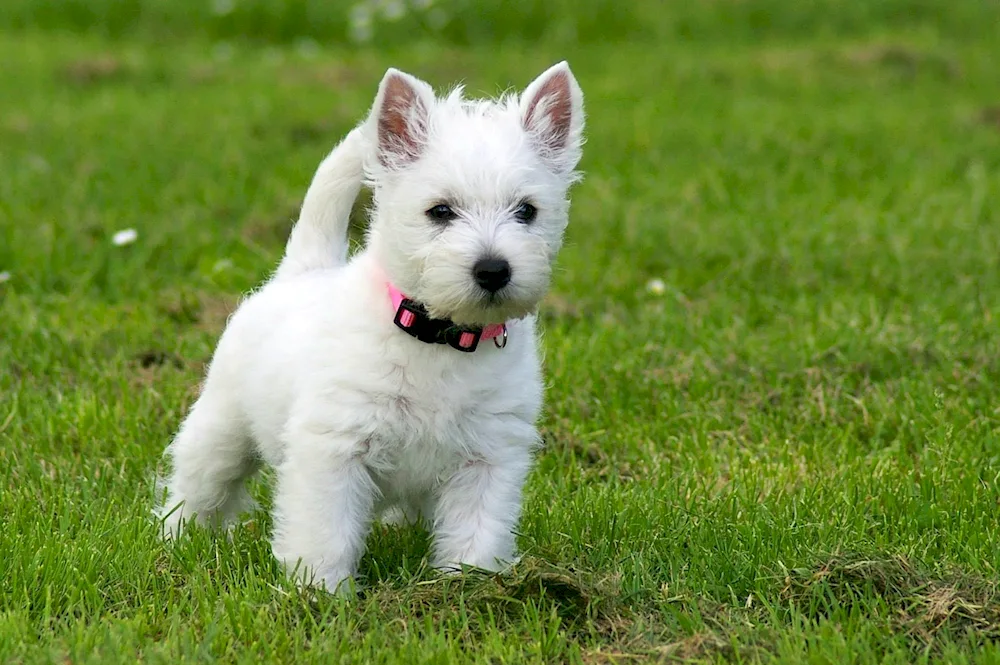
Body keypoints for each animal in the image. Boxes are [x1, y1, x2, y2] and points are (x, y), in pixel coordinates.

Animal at [158, 62, 584, 592]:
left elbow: (476, 533)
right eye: (440, 211)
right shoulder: (334, 450)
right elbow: (327, 533)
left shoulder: (488, 457)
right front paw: (319, 593)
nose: (493, 270)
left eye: (526, 210)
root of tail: (303, 268)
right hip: (221, 431)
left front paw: (470, 587)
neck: (440, 337)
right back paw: (176, 539)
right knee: (197, 488)